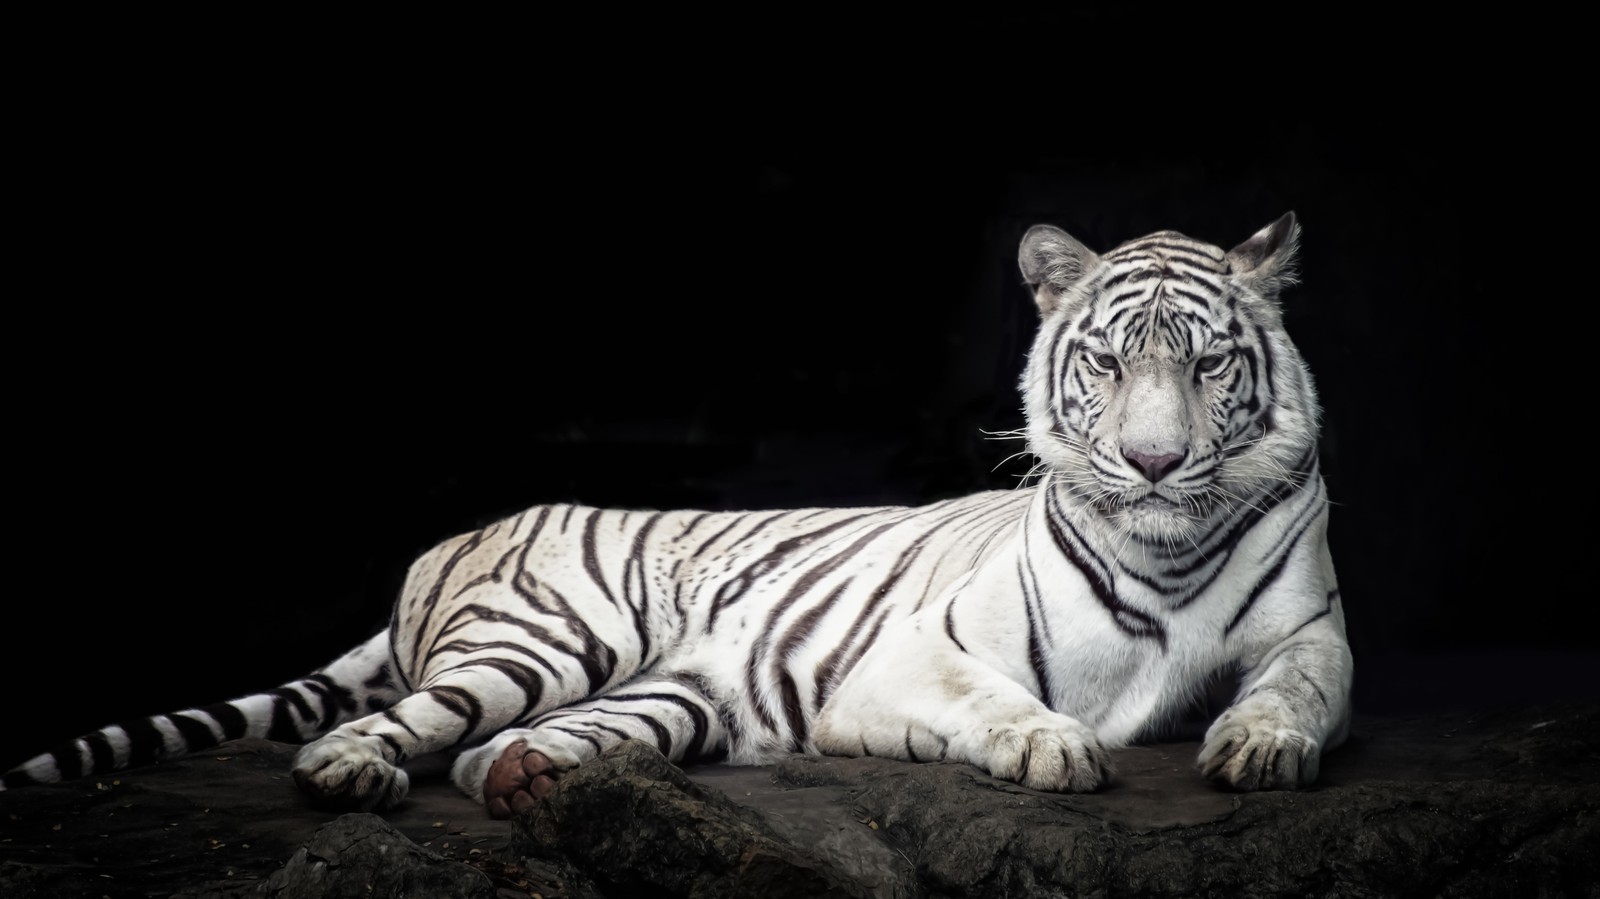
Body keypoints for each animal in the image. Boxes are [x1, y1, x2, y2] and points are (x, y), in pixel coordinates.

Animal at [0, 213, 1350, 820]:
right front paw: (1054, 745)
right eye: (1111, 363)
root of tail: (451, 536)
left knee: (495, 751)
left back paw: (530, 771)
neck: (1164, 546)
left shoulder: (1312, 629)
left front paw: (1259, 746)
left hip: (681, 692)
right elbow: (999, 698)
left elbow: (1299, 688)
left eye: (1208, 365)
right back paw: (351, 771)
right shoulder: (914, 656)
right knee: (385, 726)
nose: (1154, 462)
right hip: (541, 638)